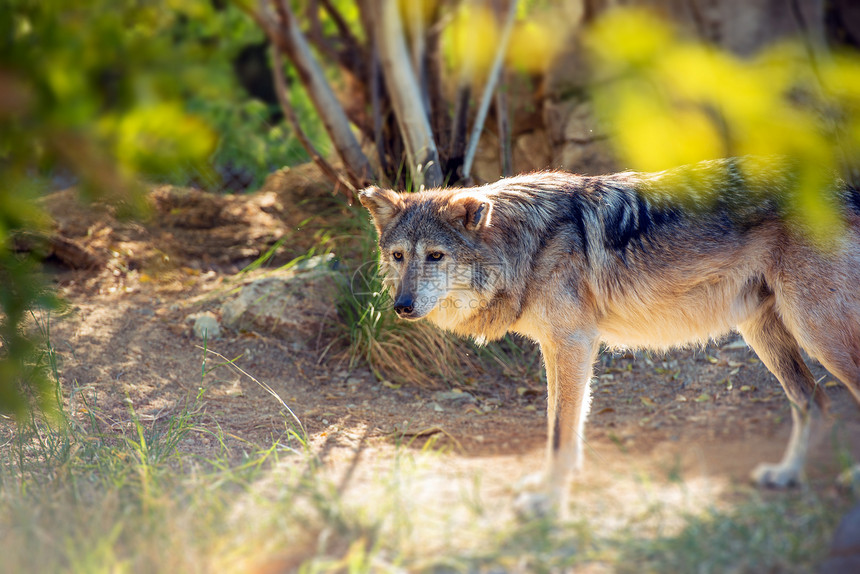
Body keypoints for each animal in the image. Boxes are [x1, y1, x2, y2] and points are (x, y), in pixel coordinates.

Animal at [358, 160, 860, 520]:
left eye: (435, 256)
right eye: (399, 256)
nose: (402, 306)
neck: (527, 246)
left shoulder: (574, 344)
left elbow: (561, 432)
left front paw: (547, 503)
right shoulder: (556, 348)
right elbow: (558, 425)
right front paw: (549, 486)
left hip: (816, 332)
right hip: (765, 334)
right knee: (813, 400)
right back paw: (786, 475)